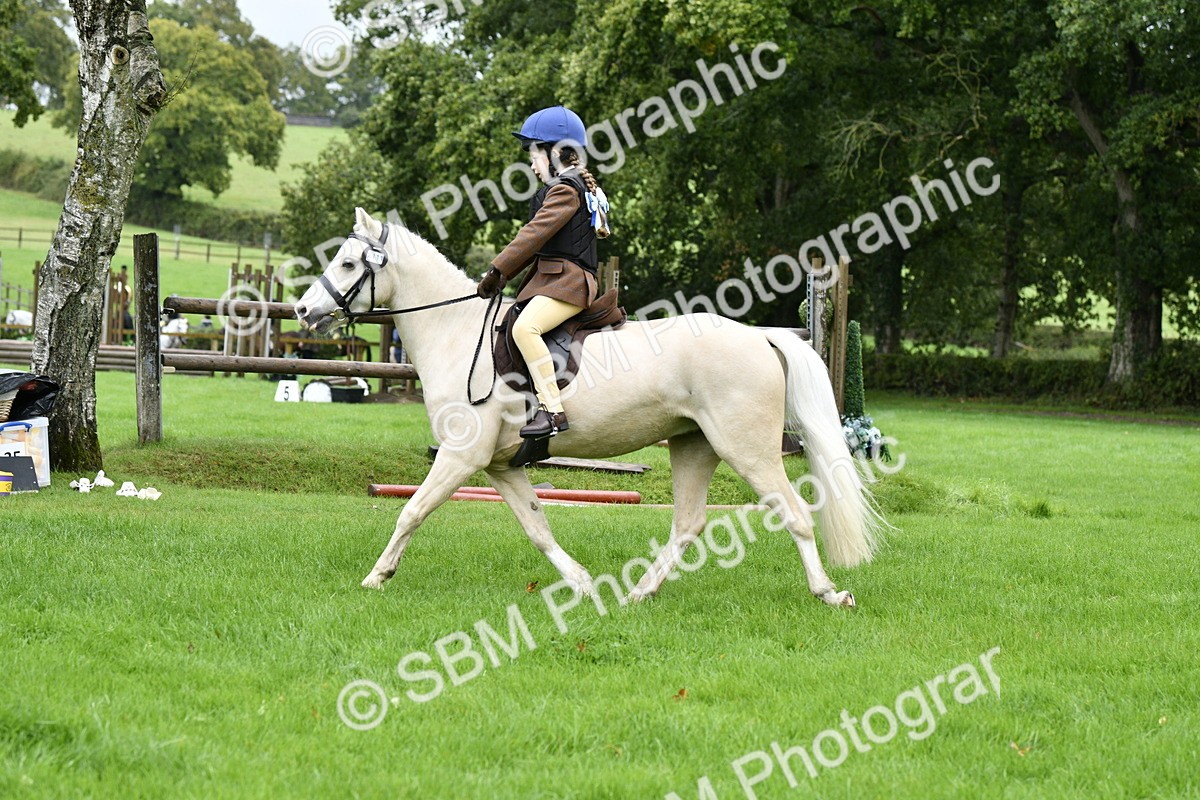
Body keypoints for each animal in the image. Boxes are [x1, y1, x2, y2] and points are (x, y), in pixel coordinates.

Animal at [294, 208, 883, 608]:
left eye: (348, 262)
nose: (303, 310)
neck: (457, 334)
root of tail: (759, 336)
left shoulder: (461, 458)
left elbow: (411, 511)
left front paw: (377, 576)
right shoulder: (501, 467)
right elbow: (538, 528)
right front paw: (579, 582)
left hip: (748, 449)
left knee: (795, 512)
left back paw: (829, 592)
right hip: (695, 445)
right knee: (688, 523)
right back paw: (640, 592)